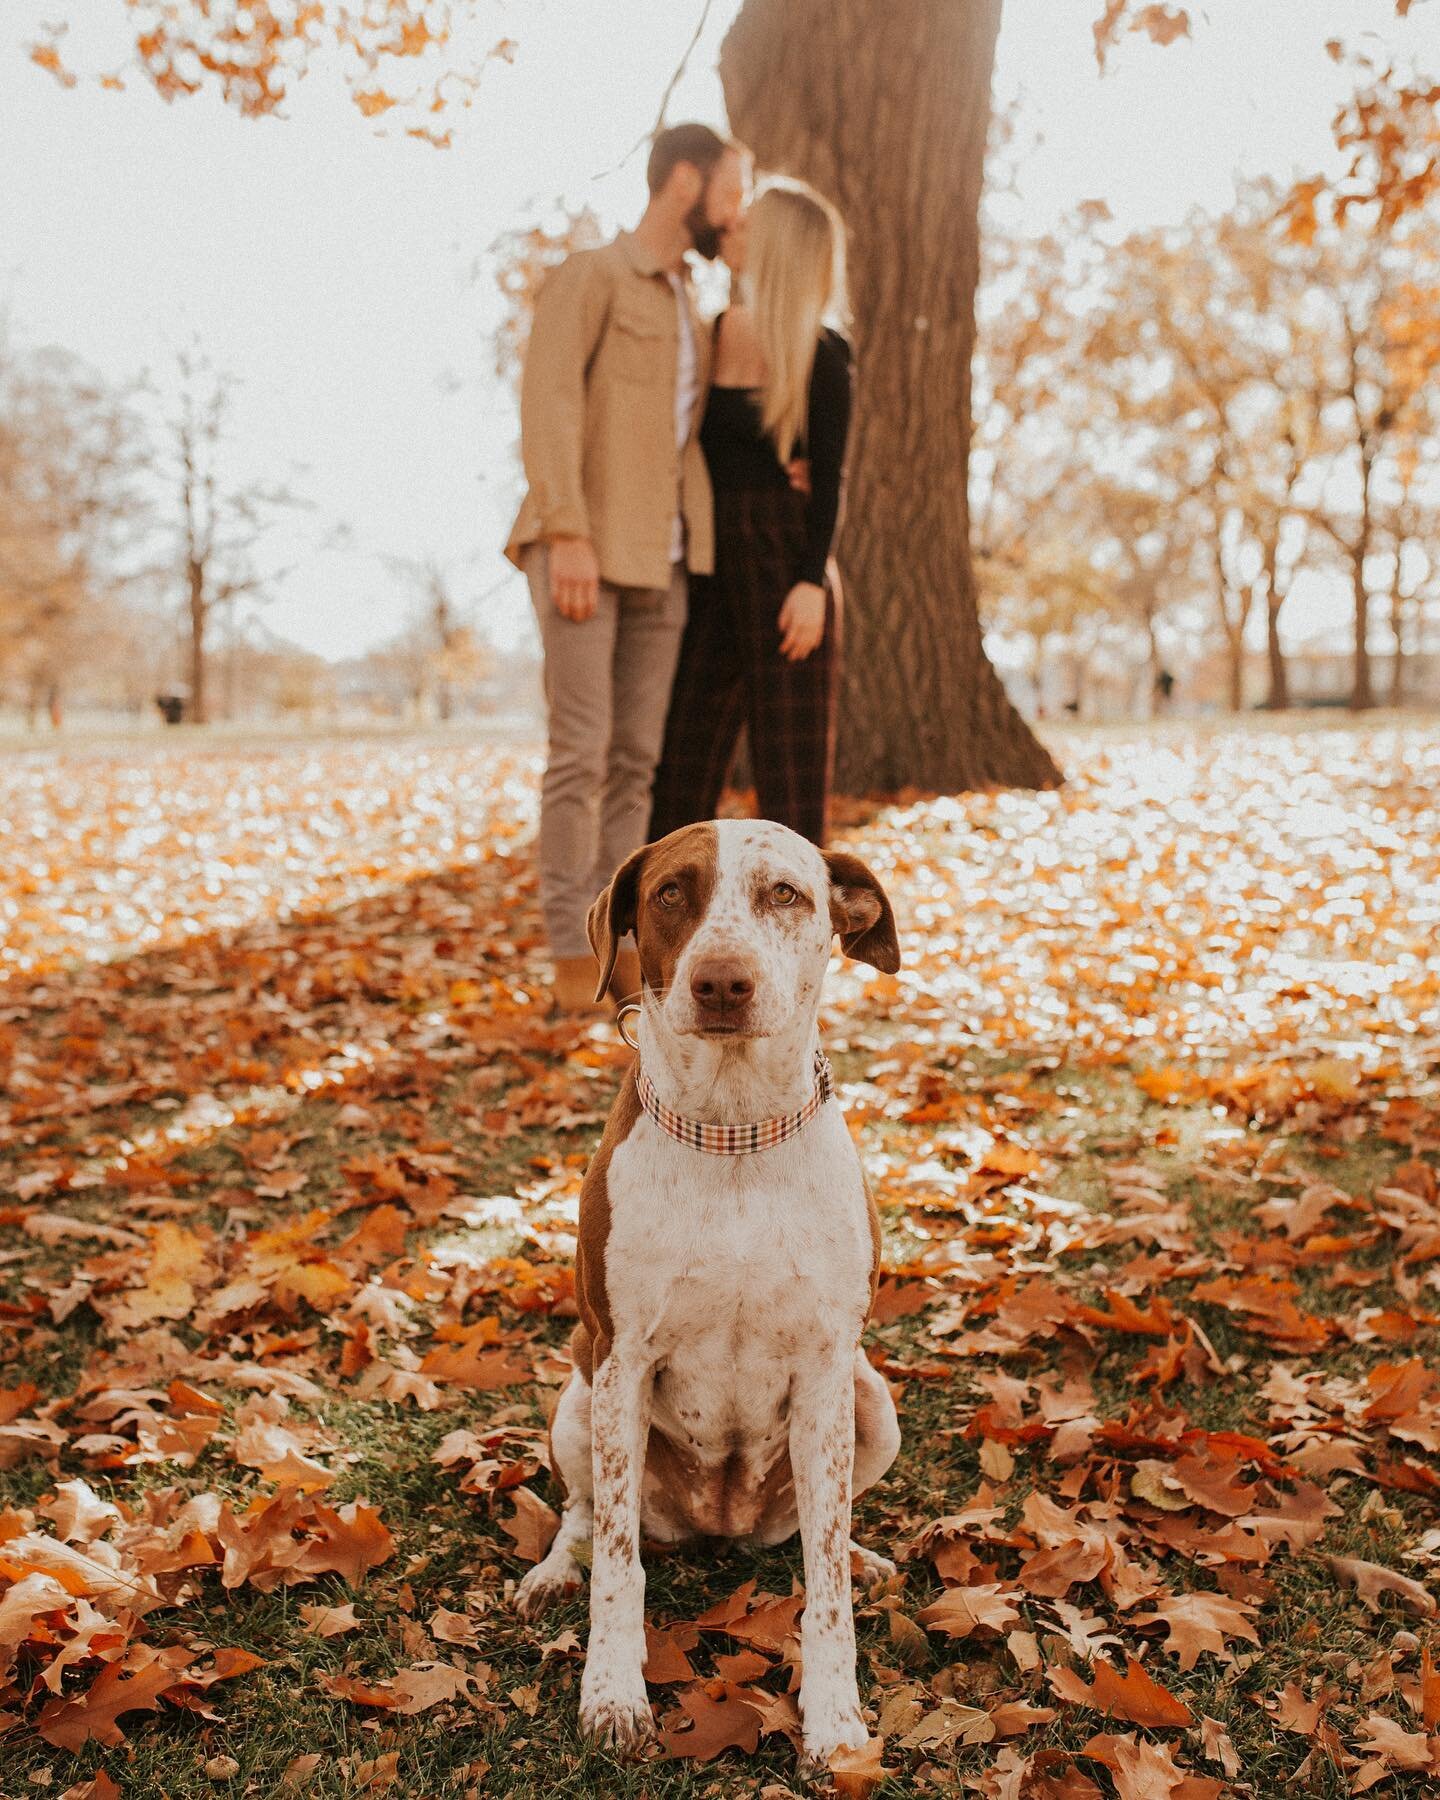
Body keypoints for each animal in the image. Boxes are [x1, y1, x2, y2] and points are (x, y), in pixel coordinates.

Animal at [514, 820, 900, 1771]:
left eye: (785, 894)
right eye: (670, 894)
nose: (723, 980)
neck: (734, 1130)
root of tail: (720, 1525)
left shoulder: (829, 1370)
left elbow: (825, 1583)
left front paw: (836, 1722)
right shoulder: (621, 1362)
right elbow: (618, 1567)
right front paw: (613, 1697)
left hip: (871, 1401)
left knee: (821, 1528)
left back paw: (863, 1554)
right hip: (577, 1399)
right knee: (583, 1514)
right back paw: (553, 1572)